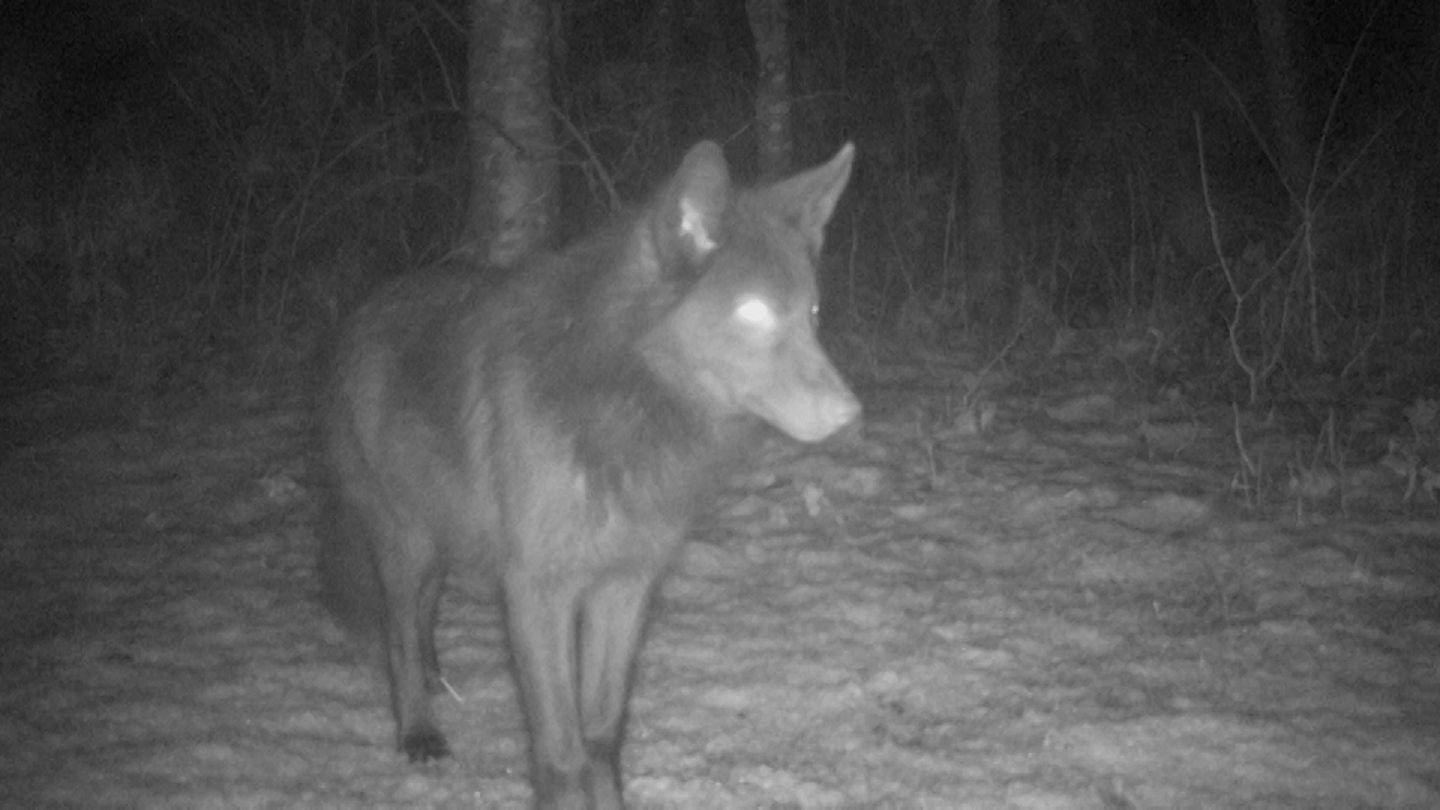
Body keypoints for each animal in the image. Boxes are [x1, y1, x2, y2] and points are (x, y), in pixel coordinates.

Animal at [321, 140, 858, 807]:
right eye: (754, 312)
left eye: (812, 313)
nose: (851, 414)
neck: (625, 409)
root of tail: (366, 309)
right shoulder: (536, 593)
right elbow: (561, 751)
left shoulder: (625, 585)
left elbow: (602, 735)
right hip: (406, 542)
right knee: (398, 632)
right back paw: (418, 728)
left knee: (423, 614)